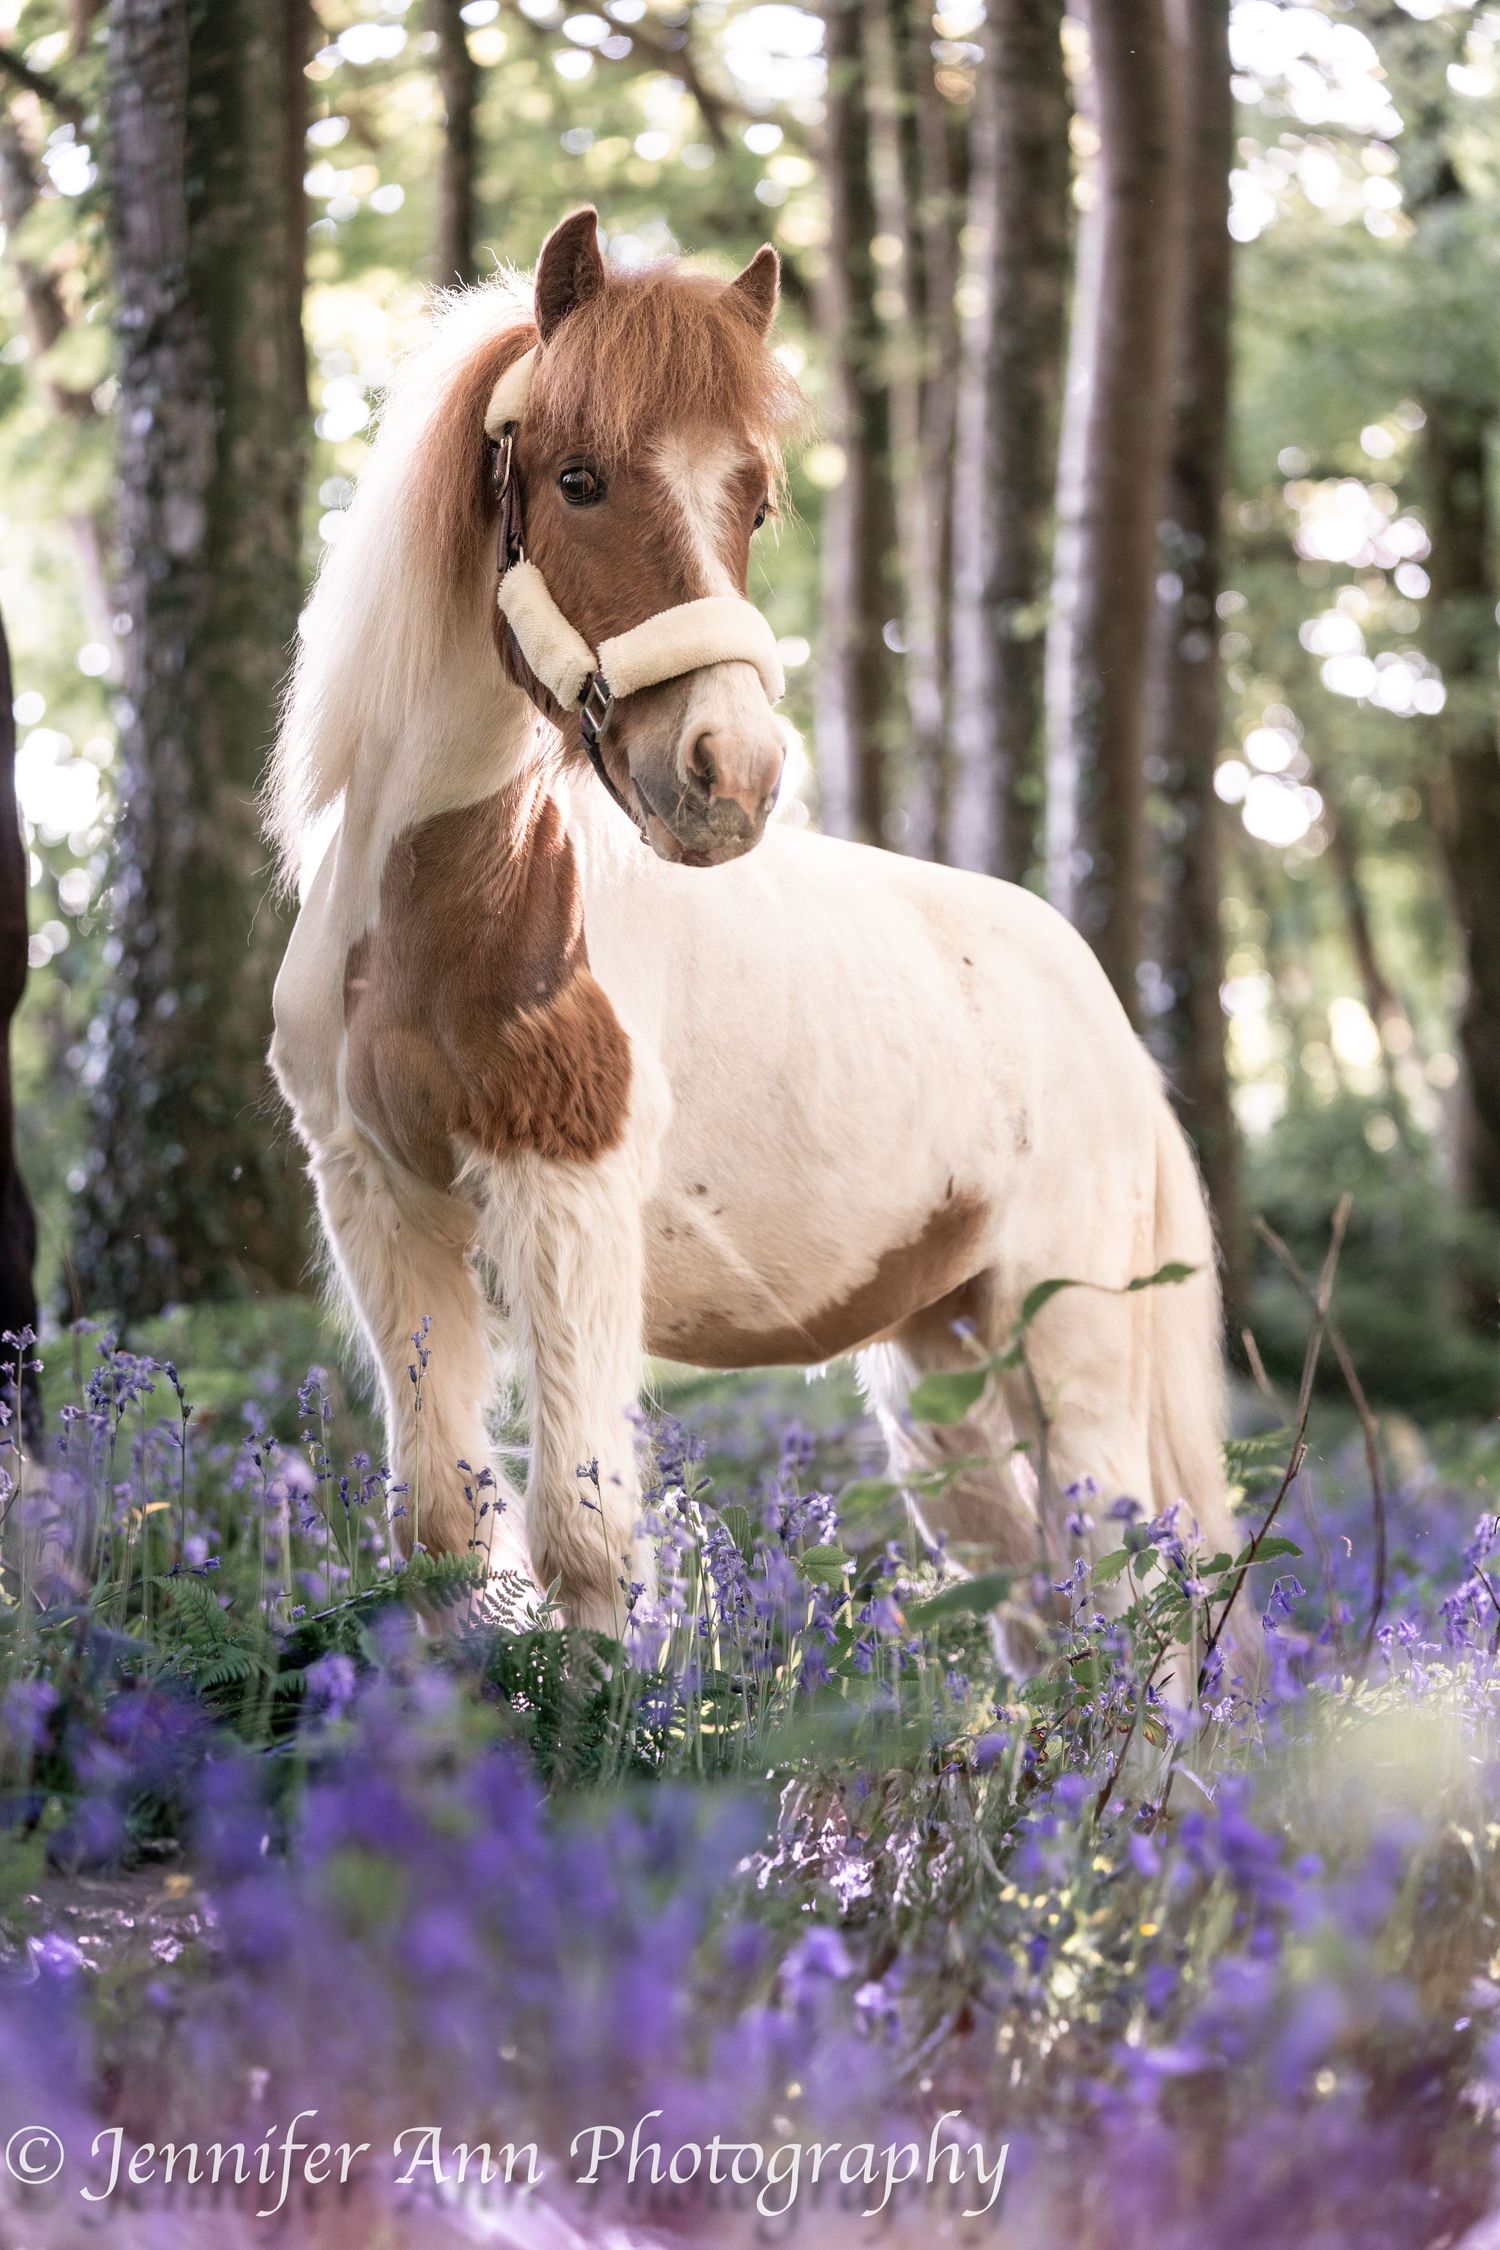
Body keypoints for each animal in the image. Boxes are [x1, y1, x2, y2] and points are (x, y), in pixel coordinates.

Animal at [267, 207, 1241, 1646]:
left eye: (758, 498)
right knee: (1028, 1599)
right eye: (577, 478)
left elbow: (586, 1541)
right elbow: (441, 1531)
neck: (441, 909)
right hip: (941, 1360)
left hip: (1069, 1341)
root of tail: (1102, 1010)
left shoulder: (568, 1206)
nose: (729, 773)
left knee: (1129, 1600)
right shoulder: (376, 1200)